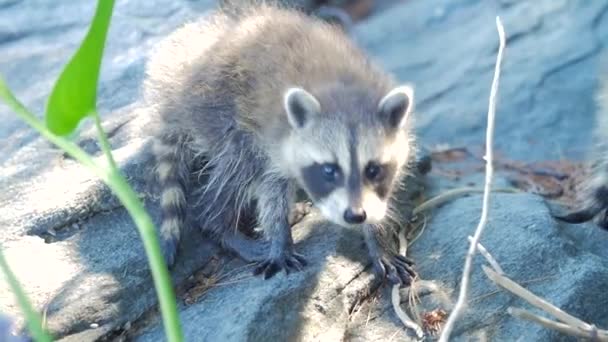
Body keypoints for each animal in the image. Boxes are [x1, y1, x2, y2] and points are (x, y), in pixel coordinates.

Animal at [144, 4, 418, 284]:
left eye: (372, 169)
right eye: (329, 170)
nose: (355, 215)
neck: (342, 92)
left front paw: (378, 237)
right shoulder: (273, 138)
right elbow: (271, 186)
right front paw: (279, 237)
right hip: (219, 112)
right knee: (238, 166)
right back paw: (219, 224)